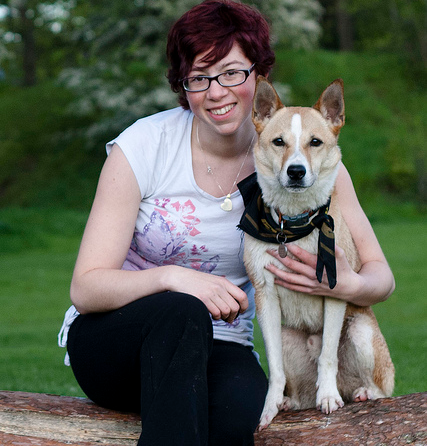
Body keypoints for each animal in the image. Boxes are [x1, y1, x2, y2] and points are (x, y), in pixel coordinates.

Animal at [239, 76, 392, 428]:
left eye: (316, 142)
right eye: (278, 142)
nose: (295, 171)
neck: (293, 224)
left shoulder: (334, 289)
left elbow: (327, 356)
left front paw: (328, 398)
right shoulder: (265, 295)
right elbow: (275, 369)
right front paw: (269, 406)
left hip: (361, 331)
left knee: (379, 389)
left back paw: (360, 393)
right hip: (288, 338)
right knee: (297, 387)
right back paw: (291, 402)